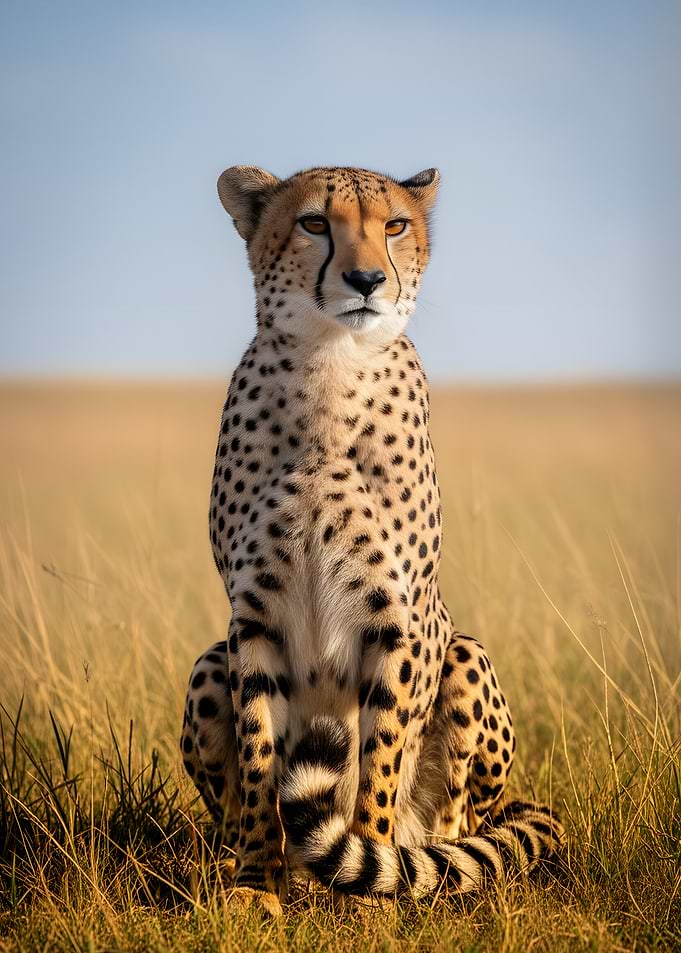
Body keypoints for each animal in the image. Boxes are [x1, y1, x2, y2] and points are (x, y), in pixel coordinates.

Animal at [180, 165, 564, 915]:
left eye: (394, 225)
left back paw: (420, 865)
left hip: (463, 654)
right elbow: (261, 756)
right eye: (313, 223)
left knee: (459, 823)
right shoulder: (252, 618)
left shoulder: (397, 618)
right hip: (209, 664)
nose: (365, 280)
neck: (332, 366)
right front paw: (257, 885)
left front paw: (367, 890)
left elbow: (381, 756)